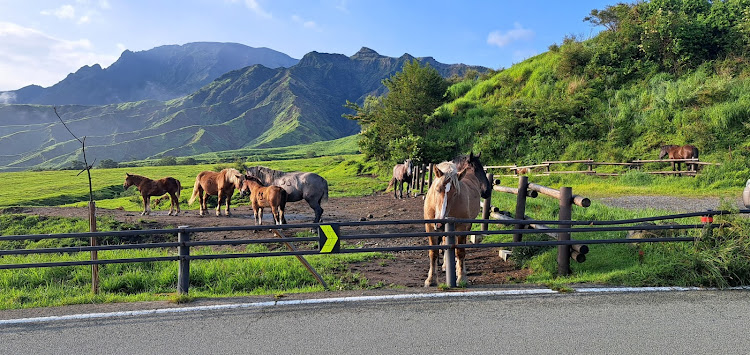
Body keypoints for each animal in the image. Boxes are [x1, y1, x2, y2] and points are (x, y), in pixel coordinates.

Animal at [424, 152, 494, 288]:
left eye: (456, 192)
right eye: (437, 189)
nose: (487, 191)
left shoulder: (462, 227)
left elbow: (460, 252)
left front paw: (461, 278)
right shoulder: (430, 227)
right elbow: (433, 252)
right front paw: (431, 279)